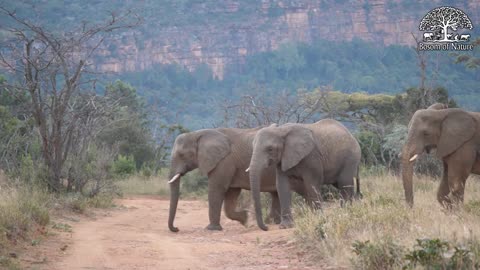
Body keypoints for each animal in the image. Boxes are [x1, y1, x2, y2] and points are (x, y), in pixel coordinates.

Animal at [167, 127, 306, 232]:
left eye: (181, 155)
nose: (177, 228)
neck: (199, 134)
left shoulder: (223, 162)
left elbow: (217, 189)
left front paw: (211, 229)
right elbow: (231, 194)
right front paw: (245, 219)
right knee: (275, 193)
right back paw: (273, 222)